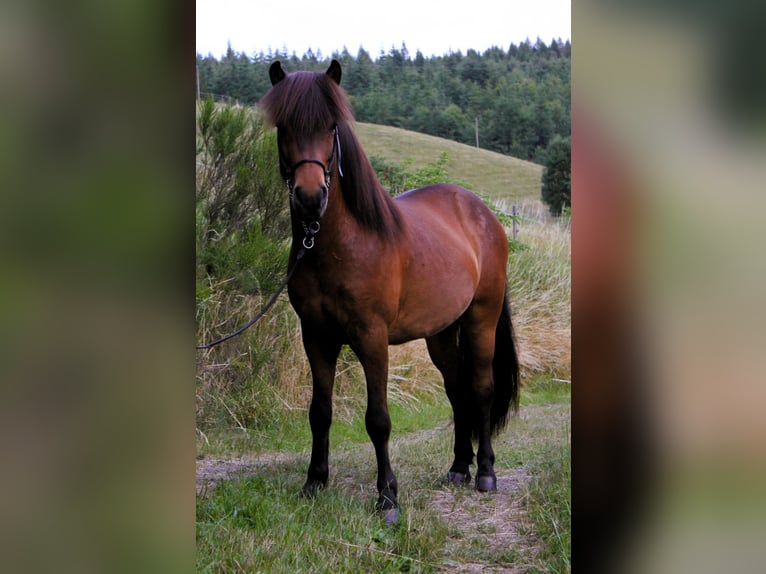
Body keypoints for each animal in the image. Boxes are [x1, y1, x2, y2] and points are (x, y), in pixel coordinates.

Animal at [260, 60, 520, 524]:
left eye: (330, 126)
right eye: (284, 126)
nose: (310, 198)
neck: (341, 243)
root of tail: (484, 214)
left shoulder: (372, 337)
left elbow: (378, 419)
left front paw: (388, 498)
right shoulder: (316, 337)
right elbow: (319, 412)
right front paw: (314, 483)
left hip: (481, 319)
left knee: (481, 389)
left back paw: (486, 473)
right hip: (441, 332)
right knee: (457, 390)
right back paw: (459, 466)